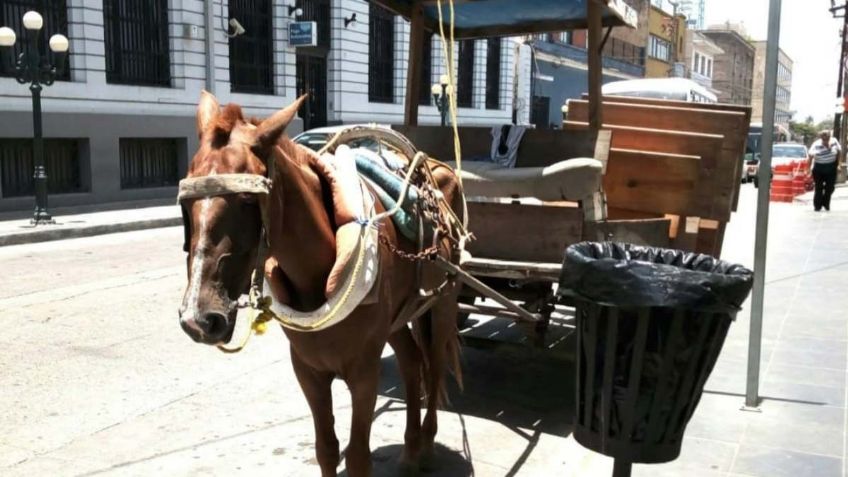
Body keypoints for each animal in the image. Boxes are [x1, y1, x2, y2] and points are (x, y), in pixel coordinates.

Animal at [178, 91, 464, 474]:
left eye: (249, 199)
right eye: (185, 201)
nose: (198, 318)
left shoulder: (364, 372)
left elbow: (358, 457)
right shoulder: (308, 370)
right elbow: (326, 448)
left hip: (441, 306)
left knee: (432, 367)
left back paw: (428, 445)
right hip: (397, 320)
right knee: (411, 361)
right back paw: (411, 449)